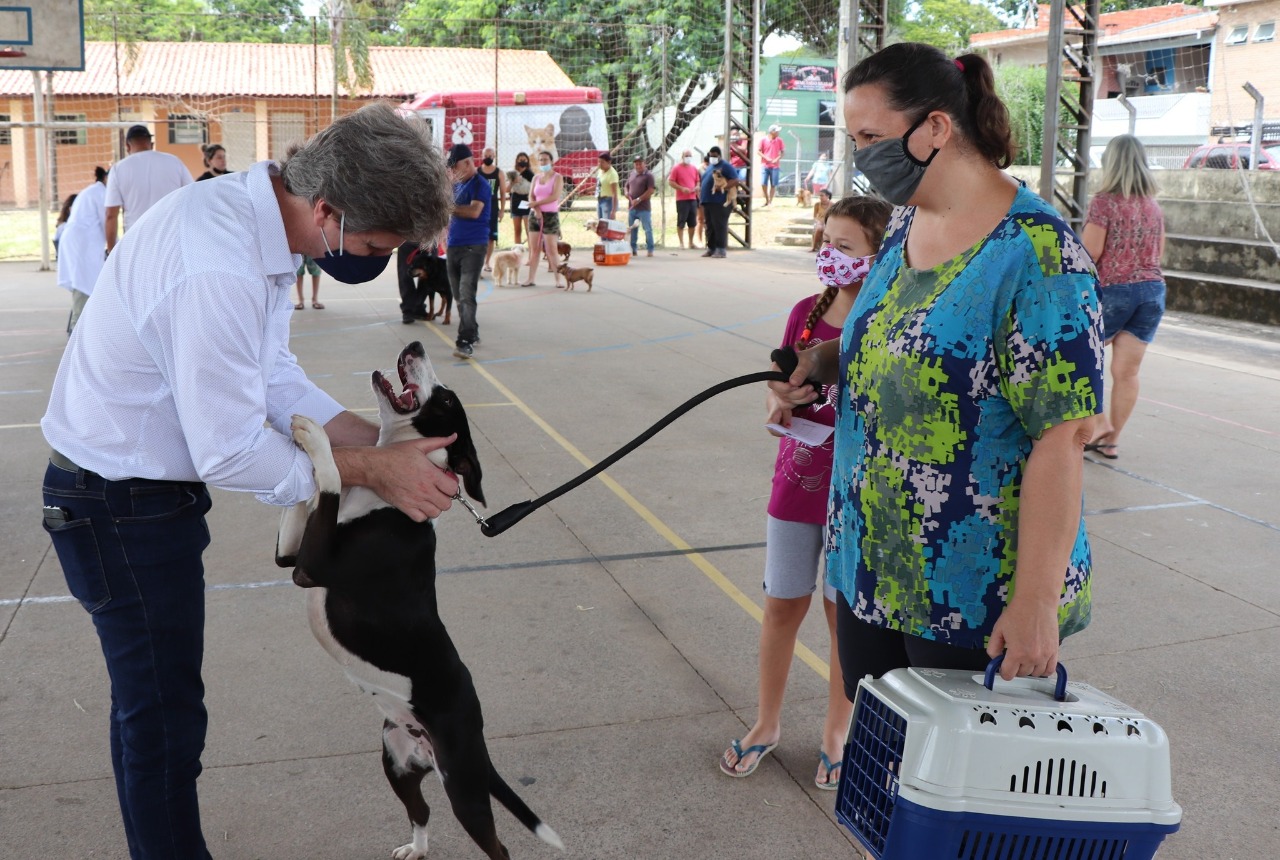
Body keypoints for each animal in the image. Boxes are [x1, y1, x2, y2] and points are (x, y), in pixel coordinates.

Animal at [277, 340, 563, 854]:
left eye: (446, 399)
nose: (415, 345)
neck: (383, 497)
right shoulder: (292, 556)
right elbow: (302, 499)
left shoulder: (310, 569)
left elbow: (327, 482)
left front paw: (314, 437)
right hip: (395, 762)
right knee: (421, 812)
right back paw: (416, 848)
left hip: (464, 789)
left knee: (497, 845)